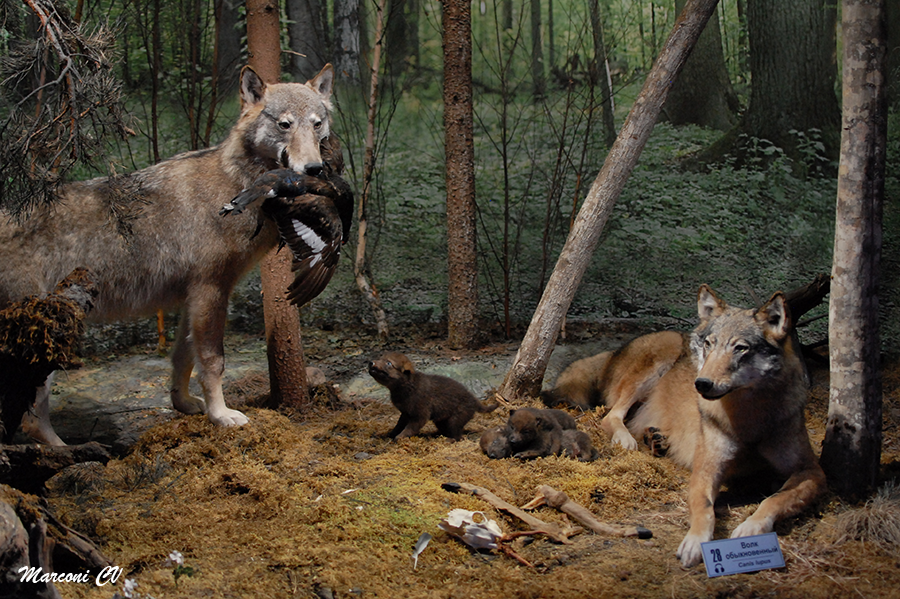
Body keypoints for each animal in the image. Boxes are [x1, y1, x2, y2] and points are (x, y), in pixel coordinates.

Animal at [0, 64, 342, 446]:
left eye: (316, 124)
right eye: (284, 124)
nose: (314, 169)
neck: (239, 184)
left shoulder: (192, 298)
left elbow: (183, 359)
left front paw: (186, 404)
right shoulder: (211, 290)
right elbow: (213, 361)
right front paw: (221, 416)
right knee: (32, 416)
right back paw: (65, 450)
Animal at [366, 352, 500, 440]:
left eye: (389, 363)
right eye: (380, 358)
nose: (370, 362)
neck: (406, 386)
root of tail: (474, 400)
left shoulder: (420, 415)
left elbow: (410, 428)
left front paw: (400, 437)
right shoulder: (405, 413)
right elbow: (398, 425)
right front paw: (390, 434)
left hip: (455, 419)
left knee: (457, 435)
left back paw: (449, 440)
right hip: (441, 420)